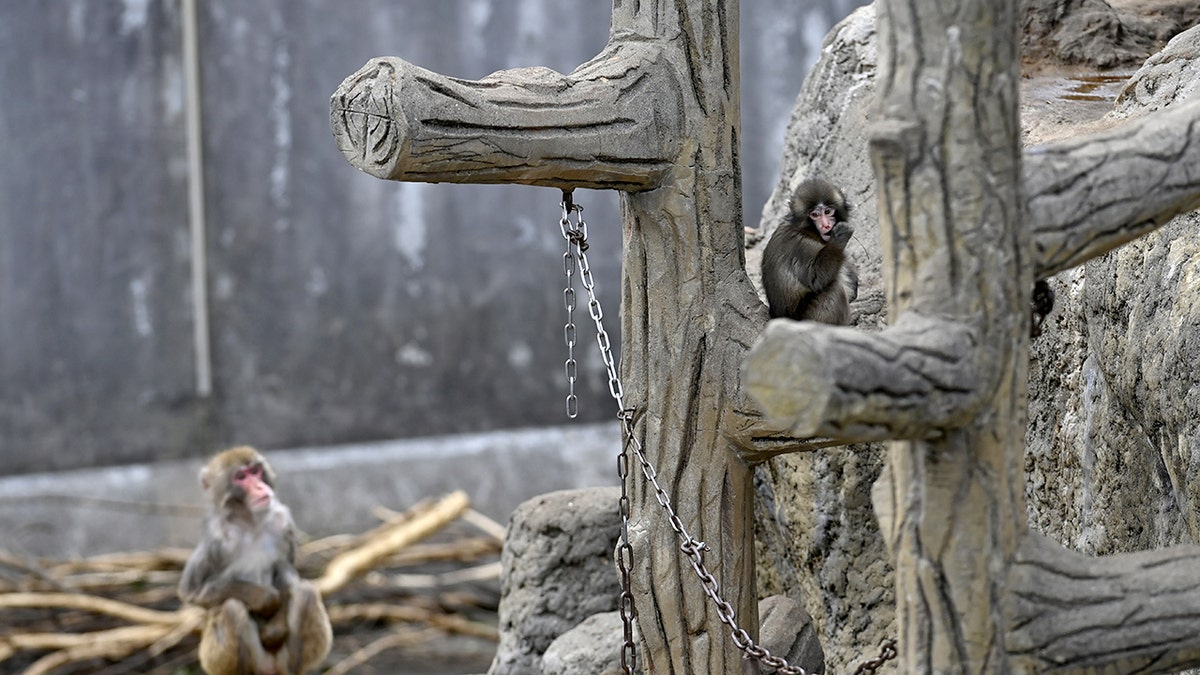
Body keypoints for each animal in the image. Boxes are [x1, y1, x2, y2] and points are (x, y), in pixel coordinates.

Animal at [179, 446, 332, 675]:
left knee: (306, 593)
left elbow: (286, 571)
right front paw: (266, 599)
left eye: (255, 471)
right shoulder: (215, 540)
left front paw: (275, 629)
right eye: (241, 477)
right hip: (225, 660)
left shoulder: (283, 522)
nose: (260, 486)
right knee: (232, 608)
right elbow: (194, 593)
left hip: (283, 659)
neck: (251, 524)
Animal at [761, 178, 859, 325]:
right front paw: (840, 237)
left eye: (828, 211)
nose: (826, 225)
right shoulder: (800, 246)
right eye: (815, 214)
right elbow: (815, 277)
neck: (807, 230)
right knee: (834, 289)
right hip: (809, 319)